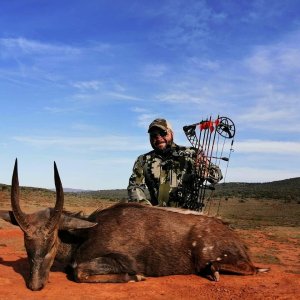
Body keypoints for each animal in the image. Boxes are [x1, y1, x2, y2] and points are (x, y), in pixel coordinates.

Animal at [2, 159, 268, 290]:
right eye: (27, 245)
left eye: (52, 243)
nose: (35, 286)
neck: (84, 235)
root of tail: (238, 240)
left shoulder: (123, 260)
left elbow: (79, 272)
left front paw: (136, 277)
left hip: (208, 255)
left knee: (251, 269)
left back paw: (215, 271)